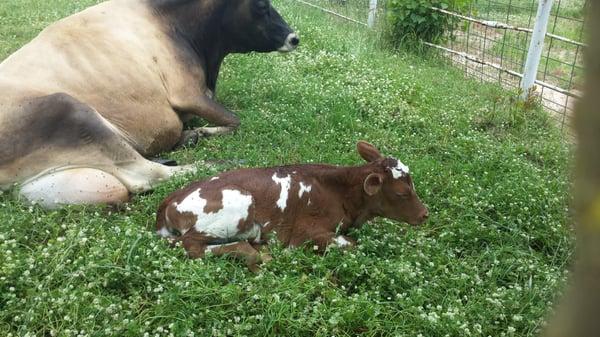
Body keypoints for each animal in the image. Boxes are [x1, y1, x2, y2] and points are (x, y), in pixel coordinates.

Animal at [0, 0, 298, 209]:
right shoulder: (187, 92)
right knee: (147, 174)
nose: (294, 37)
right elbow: (236, 120)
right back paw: (221, 163)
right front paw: (202, 132)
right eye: (261, 5)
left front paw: (193, 133)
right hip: (69, 110)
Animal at [155, 141, 426, 270]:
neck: (339, 192)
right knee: (190, 244)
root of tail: (170, 199)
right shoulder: (304, 234)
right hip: (237, 207)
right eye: (402, 192)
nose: (425, 214)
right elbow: (350, 244)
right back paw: (255, 254)